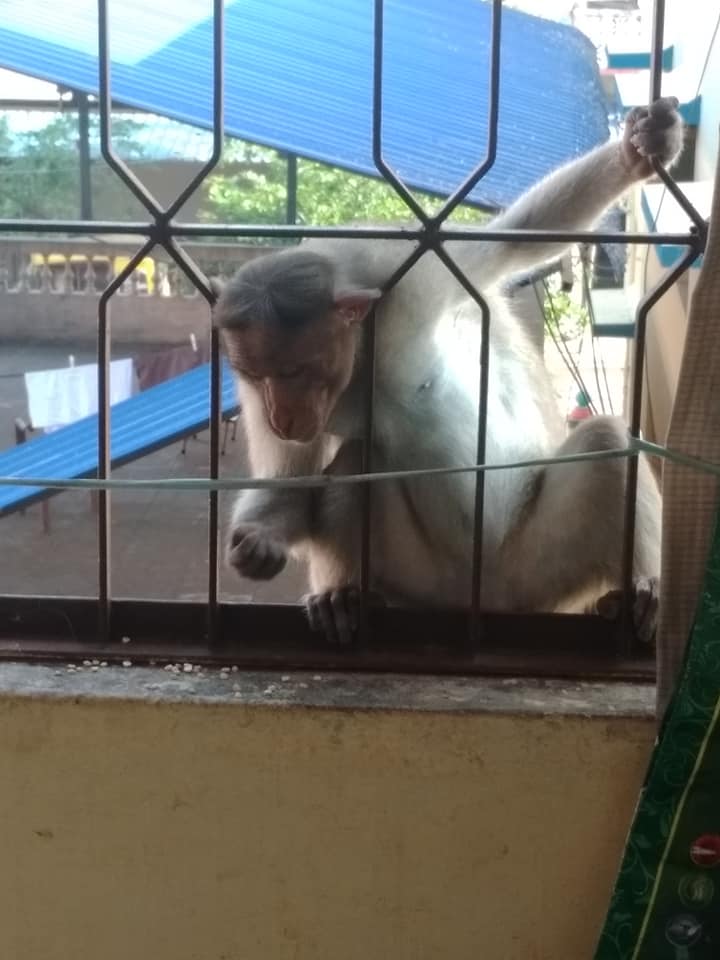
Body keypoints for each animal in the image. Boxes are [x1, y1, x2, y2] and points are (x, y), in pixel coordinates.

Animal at [213, 97, 683, 644]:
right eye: (259, 377)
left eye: (293, 371)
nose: (280, 417)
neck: (362, 360)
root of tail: (483, 599)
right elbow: (289, 477)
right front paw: (260, 539)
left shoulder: (413, 275)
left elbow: (513, 244)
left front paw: (640, 150)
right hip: (423, 583)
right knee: (357, 458)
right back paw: (344, 596)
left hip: (535, 566)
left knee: (605, 442)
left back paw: (643, 590)